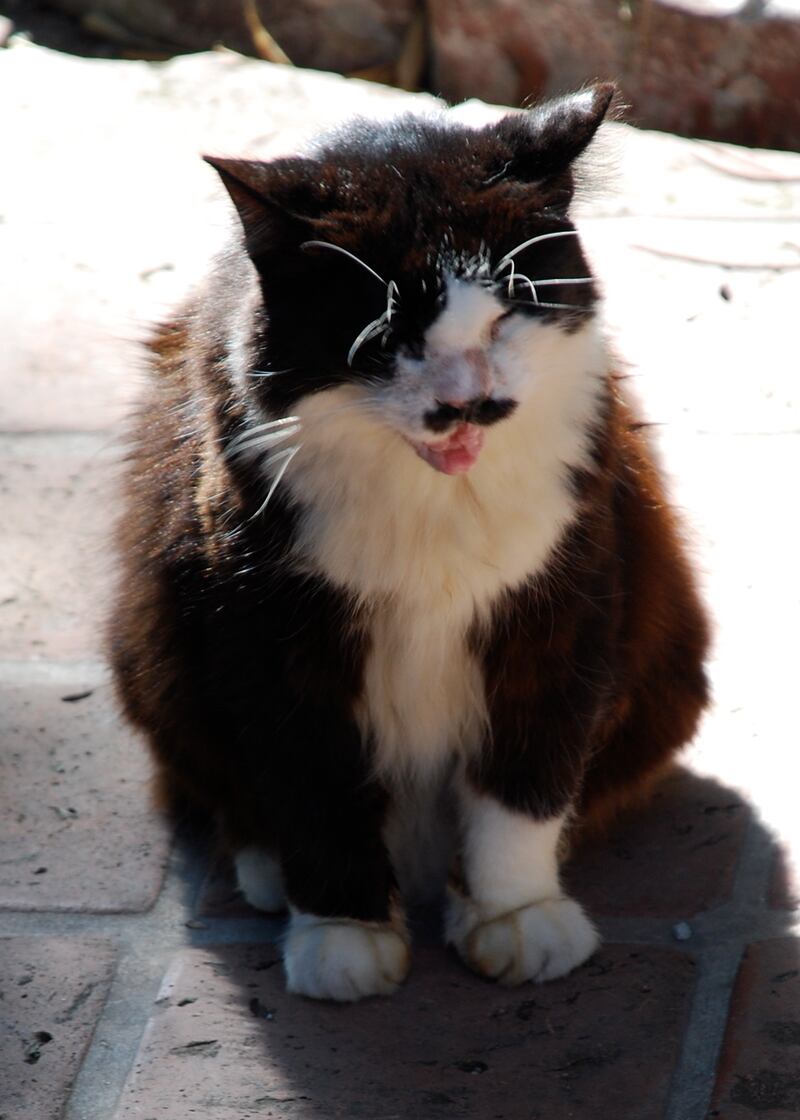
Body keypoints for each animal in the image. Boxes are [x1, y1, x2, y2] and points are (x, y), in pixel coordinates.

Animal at [109, 82, 708, 1003]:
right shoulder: (270, 633)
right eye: (391, 340)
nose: (471, 404)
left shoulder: (560, 609)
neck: (436, 506)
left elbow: (524, 782)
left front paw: (513, 912)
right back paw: (272, 873)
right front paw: (343, 932)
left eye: (506, 316)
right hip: (154, 659)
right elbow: (316, 790)